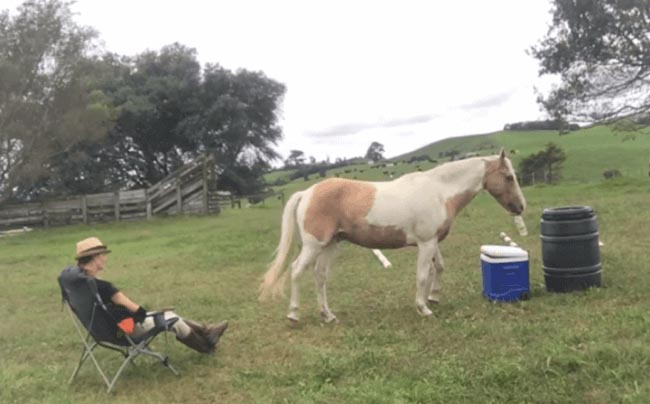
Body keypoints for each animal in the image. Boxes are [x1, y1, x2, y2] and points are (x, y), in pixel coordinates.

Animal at [256, 148, 524, 322]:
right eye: (509, 177)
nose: (520, 207)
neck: (439, 191)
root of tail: (307, 192)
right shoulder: (426, 243)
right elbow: (422, 276)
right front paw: (423, 308)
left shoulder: (432, 242)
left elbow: (438, 268)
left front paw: (433, 297)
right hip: (314, 246)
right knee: (296, 271)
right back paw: (293, 314)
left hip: (331, 245)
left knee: (320, 277)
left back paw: (328, 315)